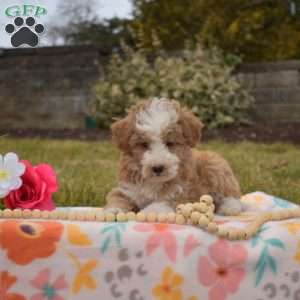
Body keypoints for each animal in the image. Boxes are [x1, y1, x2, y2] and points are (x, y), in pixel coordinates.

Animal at [104, 98, 243, 216]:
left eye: (169, 143)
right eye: (144, 145)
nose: (158, 168)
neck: (154, 182)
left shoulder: (183, 193)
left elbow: (163, 202)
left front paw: (149, 211)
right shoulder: (126, 189)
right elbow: (117, 199)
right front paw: (112, 211)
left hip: (215, 166)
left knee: (232, 195)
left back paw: (230, 207)